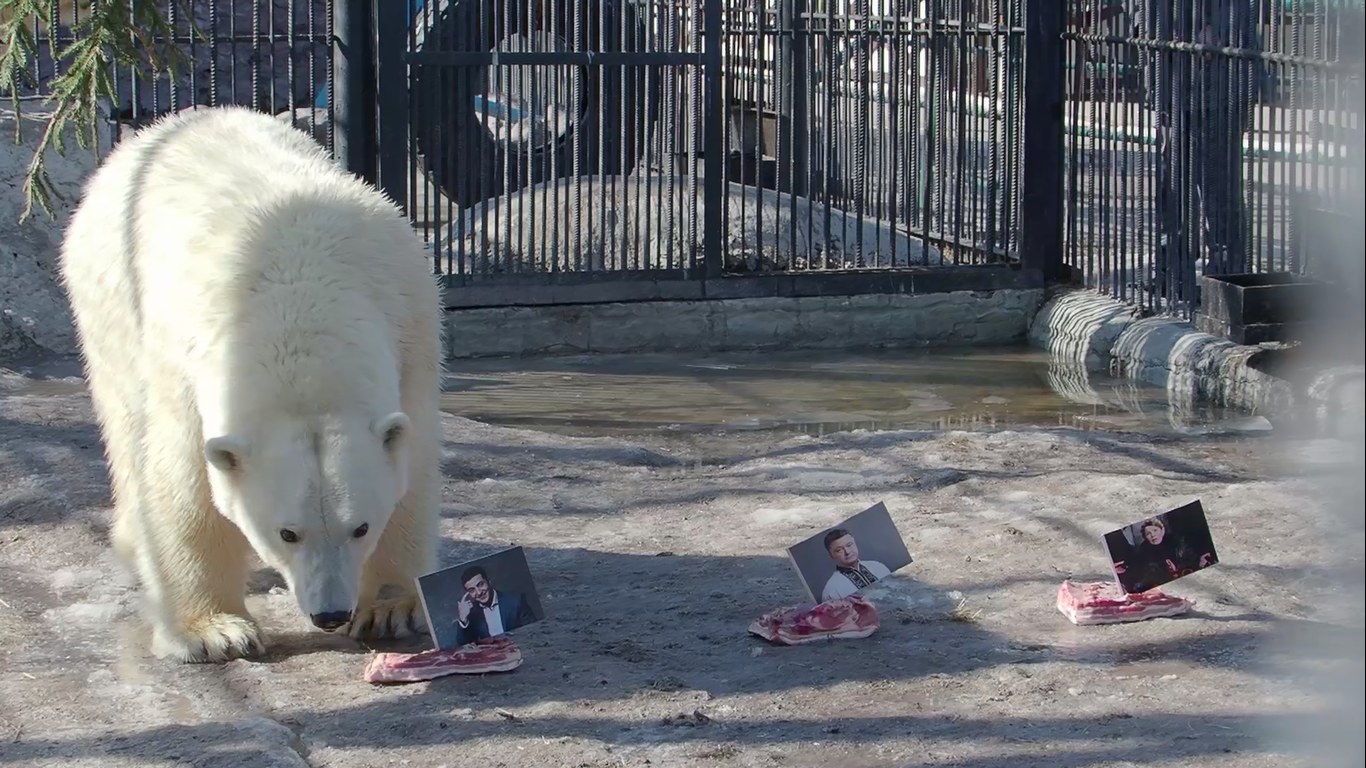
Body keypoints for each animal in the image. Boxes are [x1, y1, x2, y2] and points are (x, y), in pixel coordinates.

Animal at [58, 104, 442, 661]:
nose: (330, 614)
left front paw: (391, 606)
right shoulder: (183, 355)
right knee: (126, 424)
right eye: (287, 533)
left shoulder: (412, 327)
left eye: (360, 526)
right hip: (108, 295)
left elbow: (410, 469)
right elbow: (184, 482)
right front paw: (213, 631)